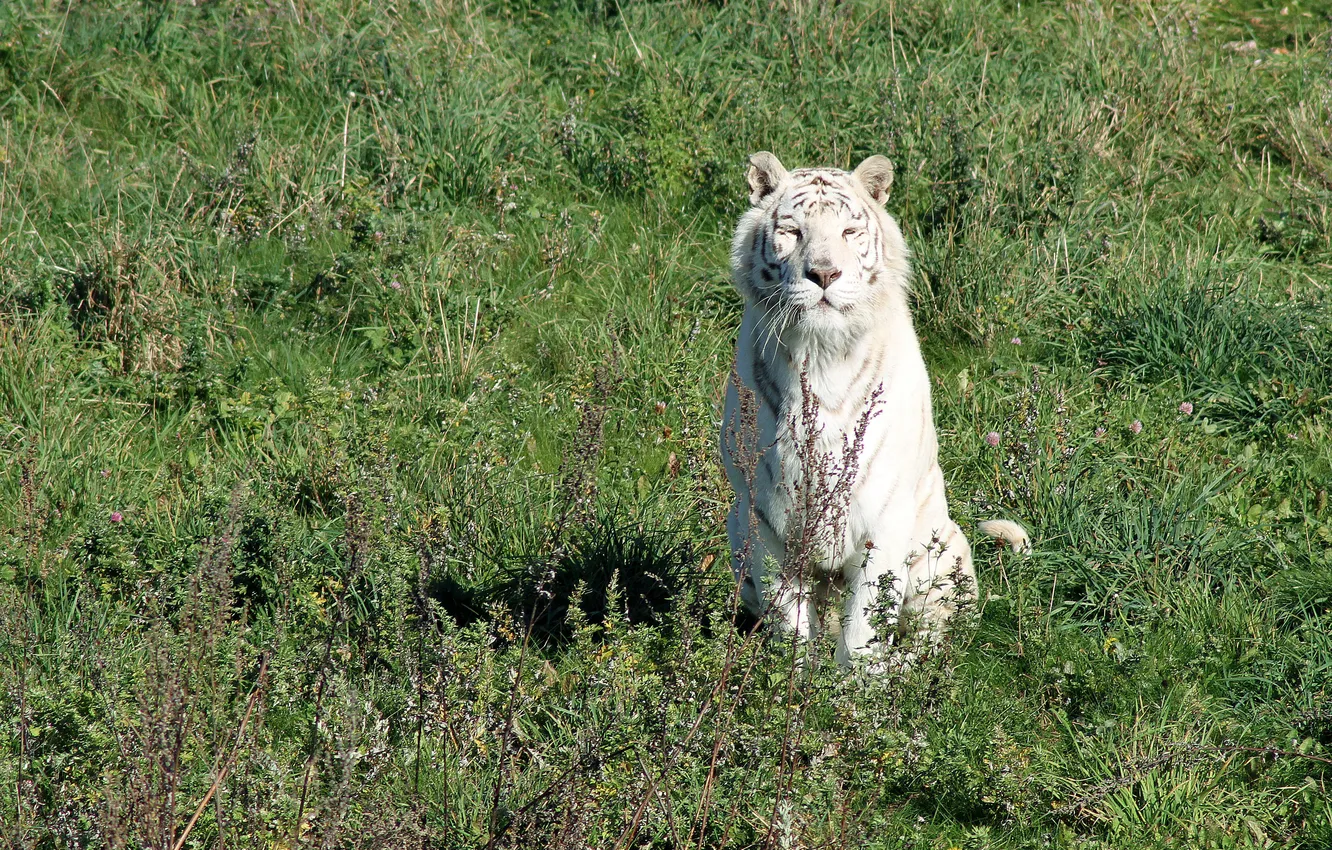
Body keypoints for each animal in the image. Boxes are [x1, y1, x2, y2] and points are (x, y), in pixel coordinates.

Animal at [720, 151, 1031, 668]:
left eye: (849, 232)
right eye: (792, 231)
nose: (824, 275)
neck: (820, 356)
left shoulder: (882, 517)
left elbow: (865, 625)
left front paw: (856, 686)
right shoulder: (765, 521)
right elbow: (790, 622)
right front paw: (793, 679)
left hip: (941, 556)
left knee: (932, 637)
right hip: (735, 529)